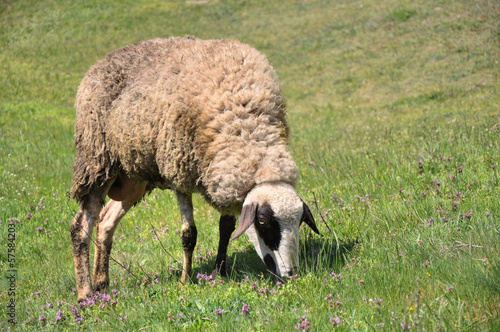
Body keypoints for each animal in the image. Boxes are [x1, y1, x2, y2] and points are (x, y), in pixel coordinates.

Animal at [69, 36, 320, 300]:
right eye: (263, 221)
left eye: (300, 221)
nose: (290, 274)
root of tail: (101, 62)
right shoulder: (179, 171)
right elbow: (189, 235)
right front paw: (185, 281)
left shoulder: (223, 176)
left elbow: (226, 228)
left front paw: (219, 271)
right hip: (97, 161)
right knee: (80, 227)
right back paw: (86, 294)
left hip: (134, 178)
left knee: (105, 221)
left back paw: (102, 283)